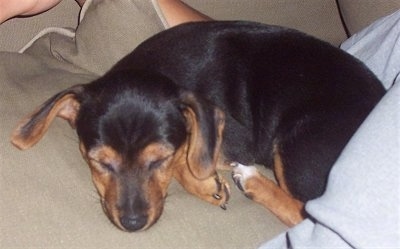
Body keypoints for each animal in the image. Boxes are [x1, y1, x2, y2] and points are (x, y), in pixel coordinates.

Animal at [10, 20, 384, 231]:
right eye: (99, 162)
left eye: (158, 159)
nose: (132, 224)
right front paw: (207, 183)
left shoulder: (233, 136)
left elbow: (191, 150)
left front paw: (205, 182)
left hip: (297, 145)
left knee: (308, 214)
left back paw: (252, 181)